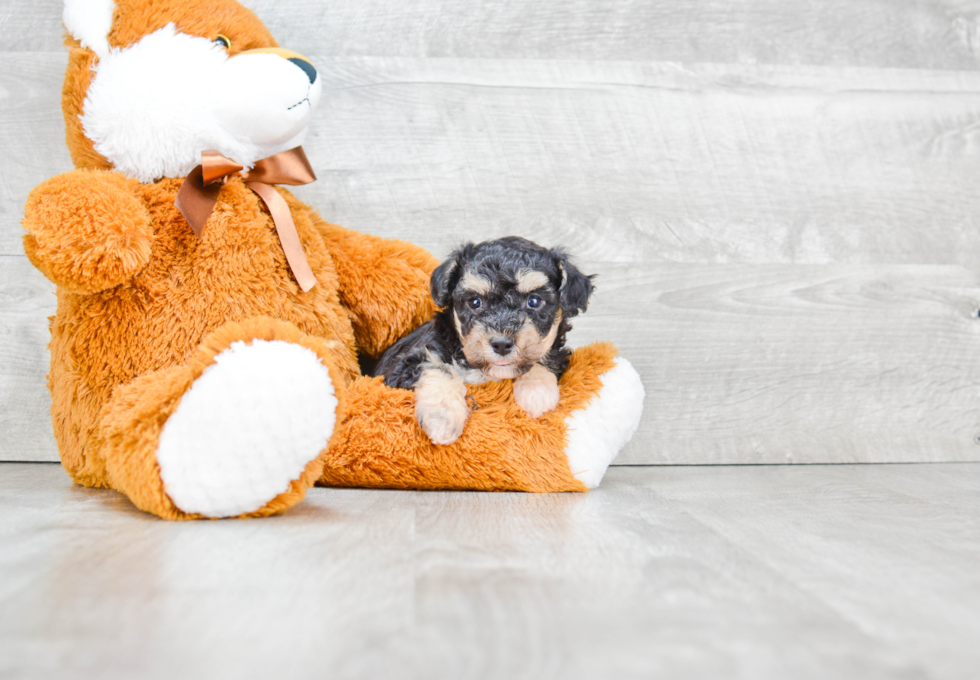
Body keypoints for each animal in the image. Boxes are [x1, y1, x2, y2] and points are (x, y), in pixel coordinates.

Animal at [372, 238, 592, 446]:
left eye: (534, 301)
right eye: (475, 302)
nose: (502, 344)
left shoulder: (558, 355)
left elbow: (543, 359)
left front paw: (536, 393)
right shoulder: (406, 363)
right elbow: (438, 367)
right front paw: (443, 417)